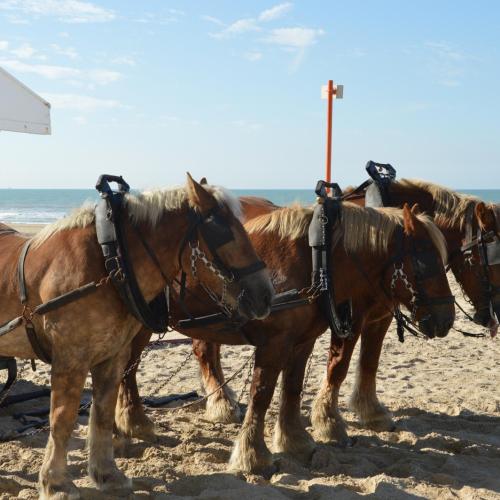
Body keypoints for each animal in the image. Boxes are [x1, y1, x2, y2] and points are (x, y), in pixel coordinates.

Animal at [0, 174, 274, 498]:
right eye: (222, 232)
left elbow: (103, 414)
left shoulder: (113, 356)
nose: (266, 295)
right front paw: (56, 482)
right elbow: (62, 419)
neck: (110, 260)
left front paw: (106, 473)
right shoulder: (70, 359)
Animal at [116, 200, 454, 472]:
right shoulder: (275, 343)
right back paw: (134, 421)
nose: (447, 318)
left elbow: (292, 387)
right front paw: (252, 455)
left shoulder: (303, 341)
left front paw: (295, 441)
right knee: (129, 370)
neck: (316, 261)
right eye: (425, 259)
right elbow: (262, 394)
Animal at [312, 181, 500, 446]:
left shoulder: (380, 316)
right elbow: (338, 367)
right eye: (494, 263)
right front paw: (327, 422)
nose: (446, 321)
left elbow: (370, 361)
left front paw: (372, 413)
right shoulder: (348, 318)